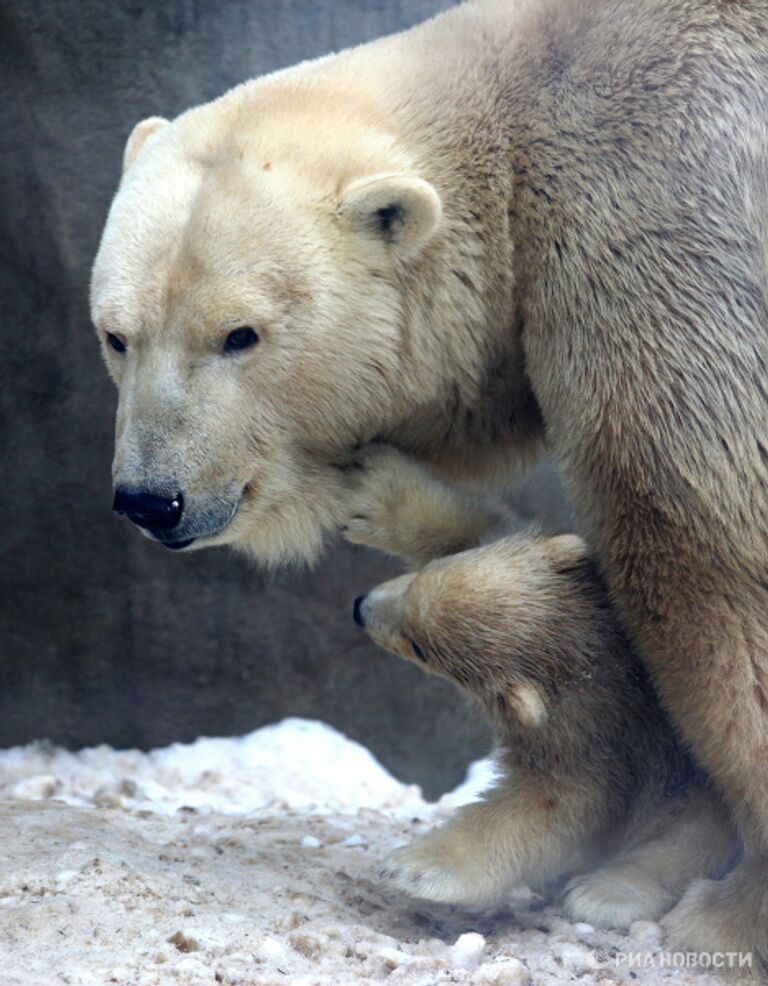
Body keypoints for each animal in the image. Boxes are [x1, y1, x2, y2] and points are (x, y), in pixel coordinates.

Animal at [91, 0, 768, 960]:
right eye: (117, 334)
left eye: (240, 334)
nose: (153, 499)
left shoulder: (664, 211)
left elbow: (695, 531)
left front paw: (725, 910)